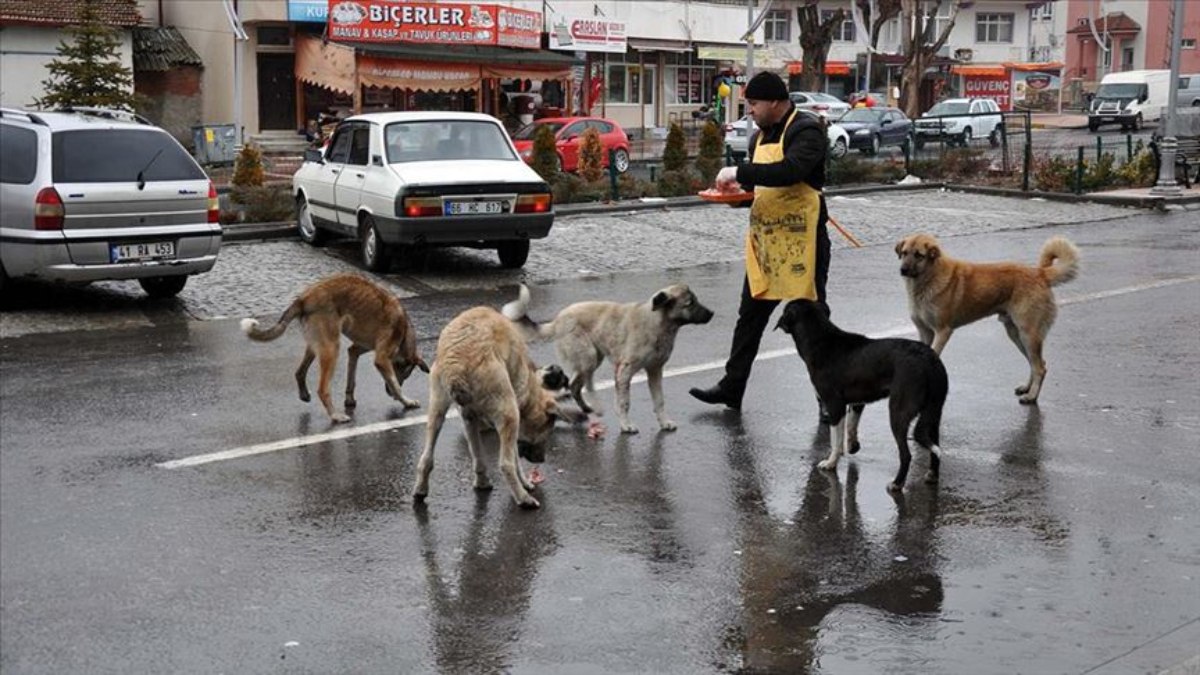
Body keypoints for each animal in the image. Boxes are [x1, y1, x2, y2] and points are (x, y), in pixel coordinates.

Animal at [241, 271, 429, 420]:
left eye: (406, 375)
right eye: (401, 371)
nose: (388, 394)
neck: (404, 331)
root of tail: (304, 298)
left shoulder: (355, 350)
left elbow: (351, 379)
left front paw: (350, 399)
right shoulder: (382, 360)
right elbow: (395, 385)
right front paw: (406, 401)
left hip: (316, 345)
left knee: (300, 372)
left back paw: (304, 394)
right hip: (332, 349)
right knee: (322, 389)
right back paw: (335, 416)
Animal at [410, 303, 583, 504]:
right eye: (548, 430)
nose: (542, 460)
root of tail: (457, 364)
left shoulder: (469, 419)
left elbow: (478, 456)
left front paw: (482, 482)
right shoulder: (512, 419)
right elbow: (514, 460)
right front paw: (525, 483)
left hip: (436, 410)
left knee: (426, 458)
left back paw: (420, 489)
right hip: (508, 414)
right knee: (505, 464)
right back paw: (523, 498)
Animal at [499, 282, 710, 429]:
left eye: (696, 300)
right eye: (690, 303)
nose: (712, 313)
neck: (657, 323)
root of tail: (558, 320)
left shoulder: (655, 371)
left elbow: (659, 401)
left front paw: (664, 422)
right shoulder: (624, 371)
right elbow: (624, 402)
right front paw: (626, 425)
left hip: (593, 358)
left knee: (576, 385)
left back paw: (587, 407)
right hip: (589, 357)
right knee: (581, 384)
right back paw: (595, 406)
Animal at [777, 296, 945, 492]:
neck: (820, 340)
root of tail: (929, 360)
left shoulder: (834, 405)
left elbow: (835, 440)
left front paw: (830, 463)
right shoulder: (856, 402)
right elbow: (851, 425)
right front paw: (852, 446)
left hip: (899, 412)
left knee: (906, 454)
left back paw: (896, 483)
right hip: (934, 411)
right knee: (935, 446)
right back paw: (932, 475)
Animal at [897, 230, 1084, 401]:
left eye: (919, 255)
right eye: (904, 253)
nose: (902, 270)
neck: (929, 278)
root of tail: (1040, 273)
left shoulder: (943, 331)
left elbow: (934, 354)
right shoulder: (925, 332)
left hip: (1028, 334)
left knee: (1039, 367)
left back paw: (1031, 396)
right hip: (1016, 335)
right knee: (1036, 363)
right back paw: (1027, 388)